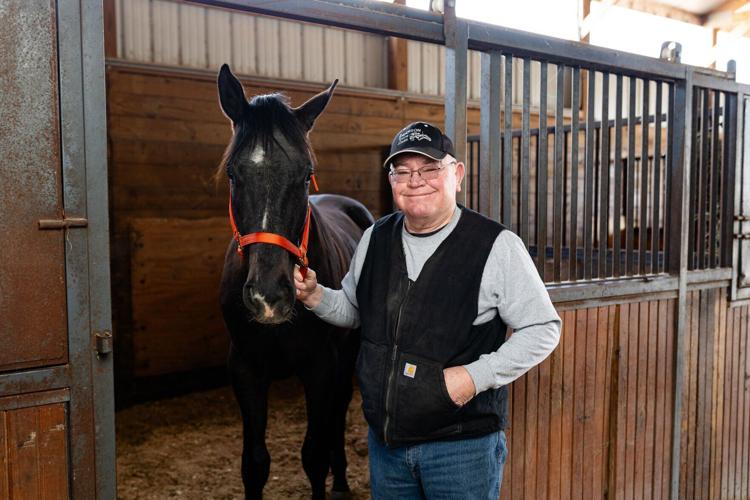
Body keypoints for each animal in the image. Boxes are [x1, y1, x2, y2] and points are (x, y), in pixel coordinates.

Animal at [215, 64, 373, 499]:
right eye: (234, 174)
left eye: (306, 176)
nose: (269, 298)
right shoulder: (245, 369)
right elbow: (254, 464)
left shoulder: (320, 367)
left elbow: (314, 456)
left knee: (337, 415)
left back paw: (341, 483)